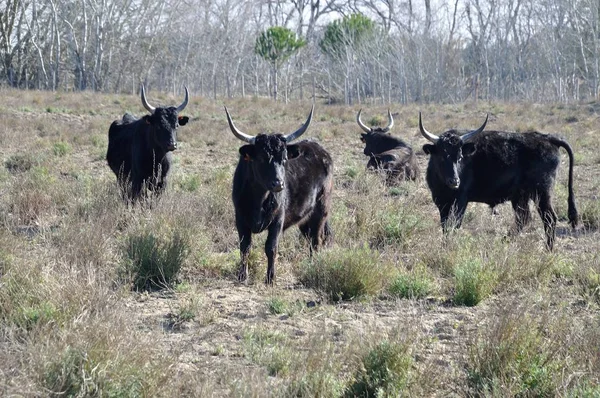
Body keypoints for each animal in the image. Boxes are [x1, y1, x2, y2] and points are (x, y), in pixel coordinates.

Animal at [227, 106, 336, 282]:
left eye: (284, 158)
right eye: (261, 158)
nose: (278, 184)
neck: (259, 198)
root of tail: (320, 150)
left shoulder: (278, 220)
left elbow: (271, 247)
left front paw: (270, 278)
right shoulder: (240, 219)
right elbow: (245, 247)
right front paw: (242, 275)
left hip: (320, 211)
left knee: (316, 240)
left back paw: (313, 265)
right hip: (305, 218)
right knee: (311, 238)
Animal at [418, 112, 576, 250]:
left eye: (460, 157)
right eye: (441, 156)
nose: (455, 181)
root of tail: (547, 138)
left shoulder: (461, 200)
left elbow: (454, 224)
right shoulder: (441, 202)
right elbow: (445, 226)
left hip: (542, 193)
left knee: (549, 218)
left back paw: (548, 249)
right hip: (521, 196)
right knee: (523, 218)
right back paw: (505, 240)